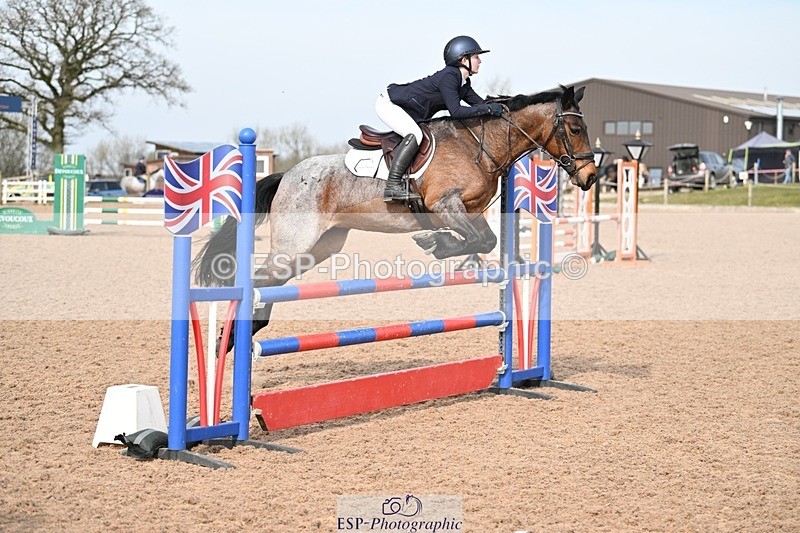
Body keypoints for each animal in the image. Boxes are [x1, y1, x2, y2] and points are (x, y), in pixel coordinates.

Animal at [194, 85, 597, 348]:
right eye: (576, 128)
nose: (590, 177)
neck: (480, 145)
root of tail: (287, 176)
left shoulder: (470, 212)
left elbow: (486, 239)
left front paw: (439, 243)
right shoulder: (444, 205)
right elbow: (478, 240)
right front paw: (435, 242)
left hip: (317, 248)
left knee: (272, 284)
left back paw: (244, 335)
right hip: (295, 243)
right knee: (258, 280)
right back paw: (230, 337)